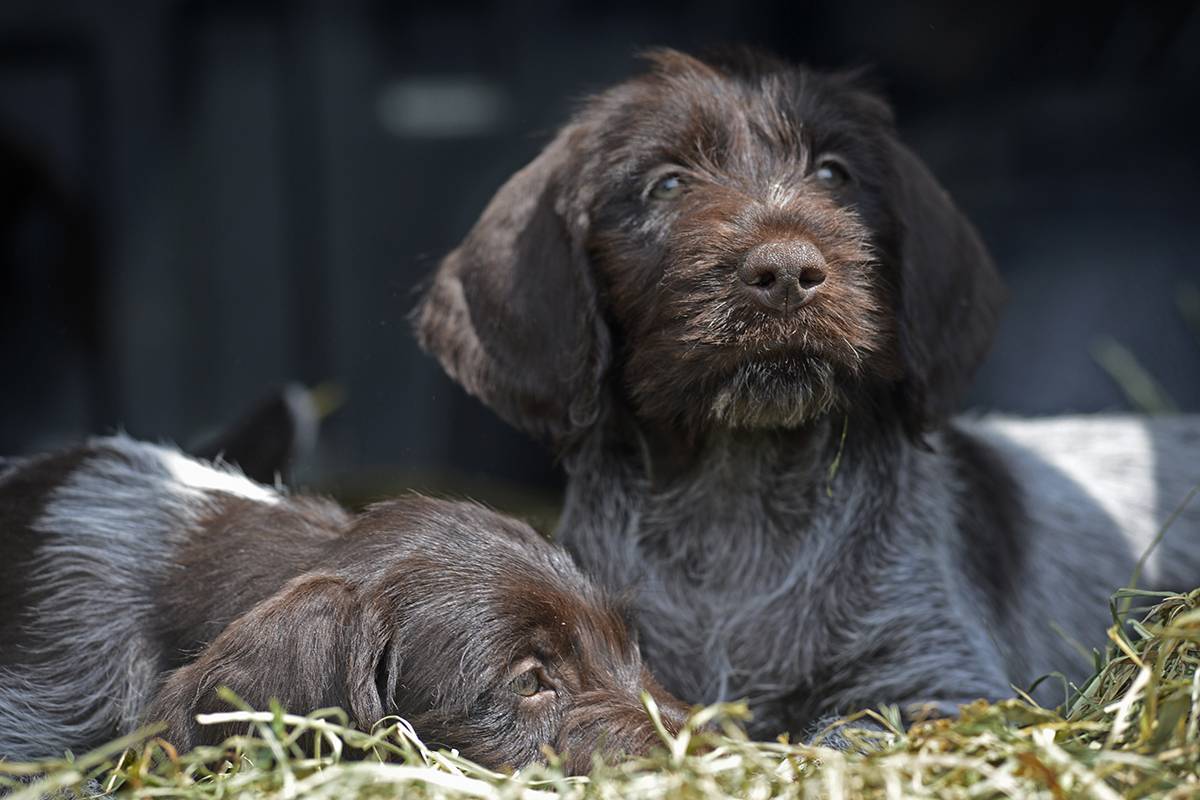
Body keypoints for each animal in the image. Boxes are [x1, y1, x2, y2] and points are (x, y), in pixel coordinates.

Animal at [415, 48, 1200, 738]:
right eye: (666, 184)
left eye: (835, 173)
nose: (788, 272)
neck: (736, 501)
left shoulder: (936, 682)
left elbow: (846, 732)